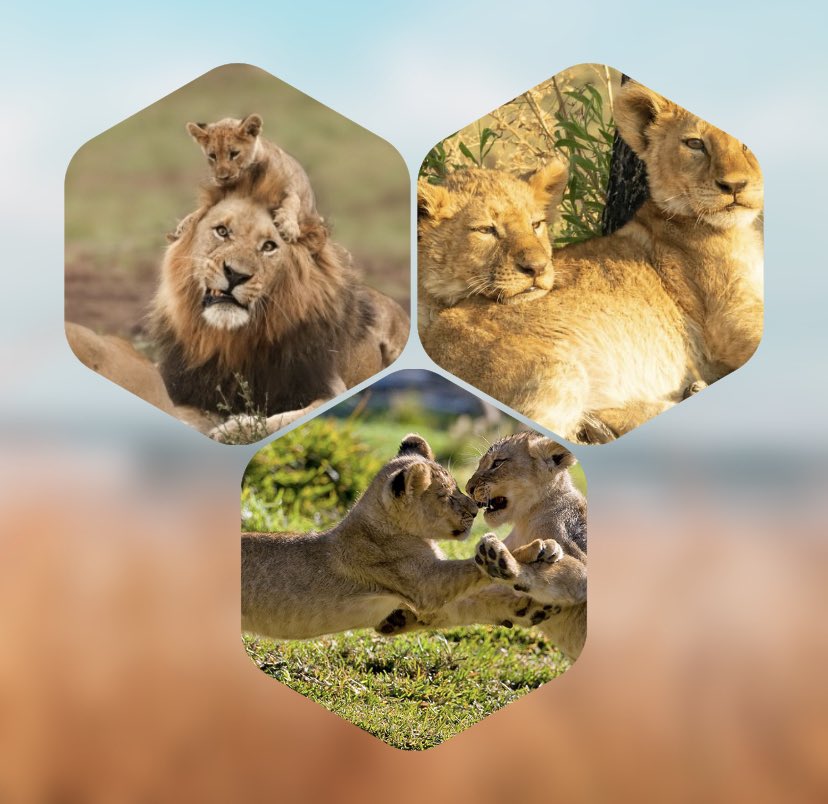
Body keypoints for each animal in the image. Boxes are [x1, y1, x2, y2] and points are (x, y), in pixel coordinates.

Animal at [149, 193, 408, 442]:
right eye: (222, 231)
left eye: (269, 246)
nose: (235, 275)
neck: (234, 343)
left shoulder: (330, 389)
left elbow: (283, 420)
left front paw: (236, 428)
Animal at [181, 114, 318, 243]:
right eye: (212, 156)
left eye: (234, 153)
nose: (222, 177)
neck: (249, 177)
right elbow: (205, 208)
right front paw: (186, 222)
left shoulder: (288, 188)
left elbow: (293, 202)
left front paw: (289, 227)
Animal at [242, 434, 548, 640]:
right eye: (445, 496)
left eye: (457, 487)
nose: (475, 510)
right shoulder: (426, 586)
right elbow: (472, 567)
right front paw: (525, 552)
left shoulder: (421, 599)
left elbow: (477, 600)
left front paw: (531, 608)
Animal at [377, 432, 587, 660]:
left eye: (497, 463)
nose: (469, 488)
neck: (526, 518)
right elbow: (470, 599)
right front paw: (399, 617)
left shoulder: (575, 547)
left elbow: (556, 573)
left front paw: (506, 563)